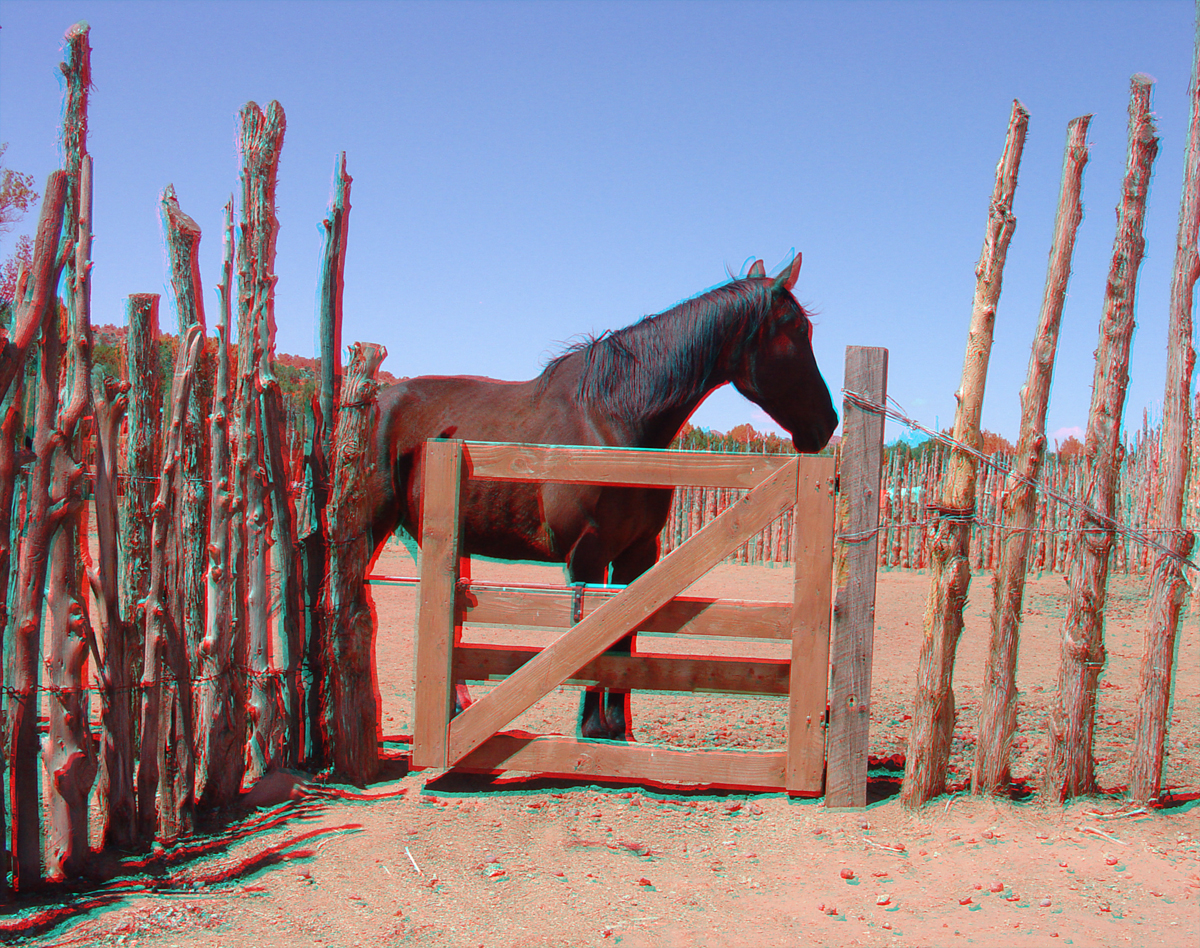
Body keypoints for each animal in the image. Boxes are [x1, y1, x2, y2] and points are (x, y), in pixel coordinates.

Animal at [369, 252, 840, 744]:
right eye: (796, 328)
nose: (826, 422)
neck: (612, 422)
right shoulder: (587, 553)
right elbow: (593, 633)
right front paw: (592, 727)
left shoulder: (639, 554)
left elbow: (621, 635)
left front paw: (616, 729)